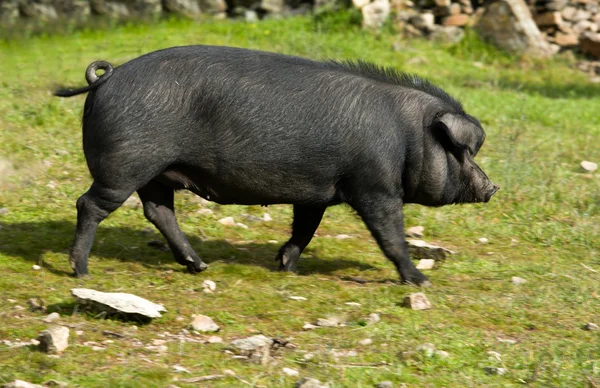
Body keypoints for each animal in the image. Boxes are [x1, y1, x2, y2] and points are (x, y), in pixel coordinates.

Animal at [55, 46, 496, 284]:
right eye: (462, 151)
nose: (492, 187)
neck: (407, 136)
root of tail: (105, 79)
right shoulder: (375, 187)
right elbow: (390, 236)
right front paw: (420, 281)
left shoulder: (317, 191)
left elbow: (305, 229)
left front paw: (286, 267)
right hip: (125, 165)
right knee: (89, 204)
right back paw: (82, 272)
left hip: (156, 173)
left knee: (158, 211)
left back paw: (199, 265)